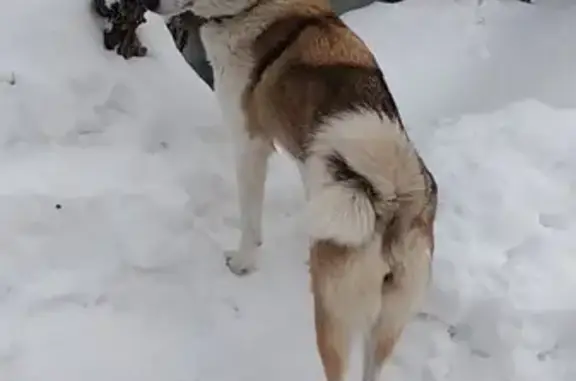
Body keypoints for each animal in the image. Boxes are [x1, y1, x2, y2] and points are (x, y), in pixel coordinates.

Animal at [143, 1, 436, 378]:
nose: (149, 6)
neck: (251, 9)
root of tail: (394, 203)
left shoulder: (250, 144)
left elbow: (250, 221)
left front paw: (242, 263)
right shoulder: (308, 159)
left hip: (333, 321)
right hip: (386, 326)